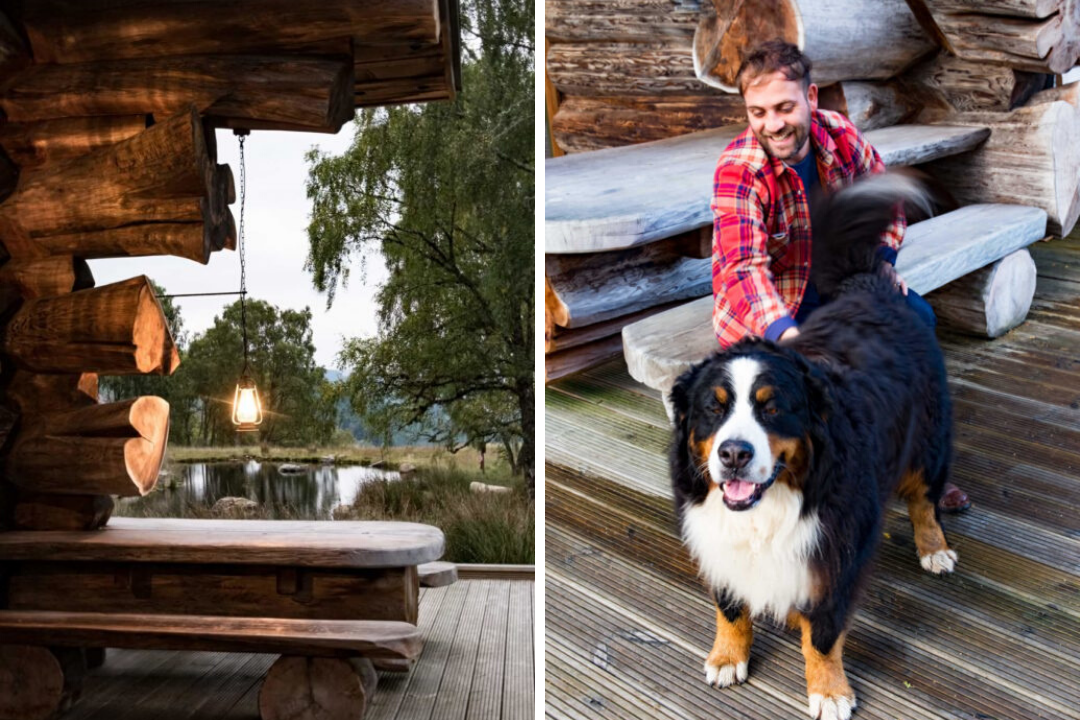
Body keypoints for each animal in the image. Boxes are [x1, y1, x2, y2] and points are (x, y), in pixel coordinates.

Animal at [669, 174, 959, 720]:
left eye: (772, 408)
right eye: (713, 408)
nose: (733, 454)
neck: (771, 505)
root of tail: (869, 287)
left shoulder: (837, 550)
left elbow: (823, 634)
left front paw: (829, 690)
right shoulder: (719, 539)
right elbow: (730, 605)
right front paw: (727, 656)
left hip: (927, 443)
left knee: (924, 499)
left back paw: (934, 548)